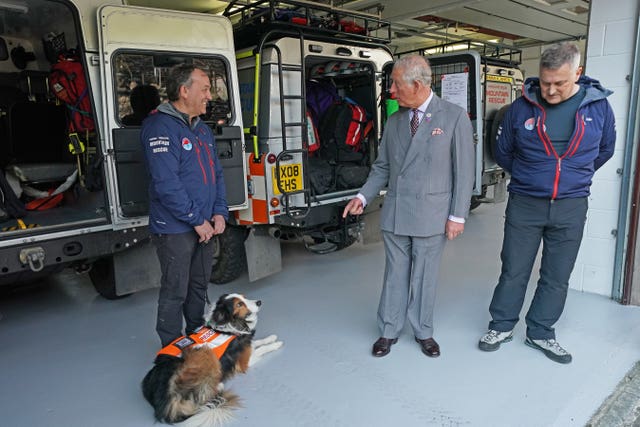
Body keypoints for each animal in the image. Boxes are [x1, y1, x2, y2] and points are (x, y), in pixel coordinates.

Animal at [142, 294, 282, 427]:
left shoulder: (248, 347)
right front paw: (276, 344)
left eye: (244, 297)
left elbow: (259, 342)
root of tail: (165, 405)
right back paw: (218, 385)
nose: (259, 302)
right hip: (204, 352)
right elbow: (263, 348)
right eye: (239, 304)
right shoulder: (245, 362)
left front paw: (272, 337)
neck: (229, 325)